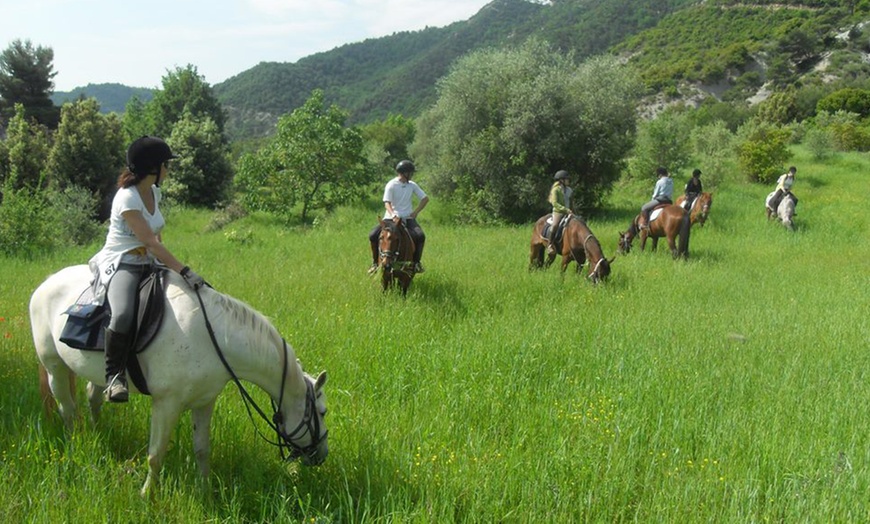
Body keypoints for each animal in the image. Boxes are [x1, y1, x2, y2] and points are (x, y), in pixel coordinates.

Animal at [29, 264, 330, 498]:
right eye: (323, 412)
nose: (322, 455)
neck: (212, 337)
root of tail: (45, 283)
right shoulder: (166, 403)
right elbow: (155, 454)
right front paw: (147, 495)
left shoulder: (205, 402)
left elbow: (202, 449)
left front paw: (206, 490)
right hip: (54, 366)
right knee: (67, 408)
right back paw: (75, 444)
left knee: (93, 396)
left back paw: (97, 433)